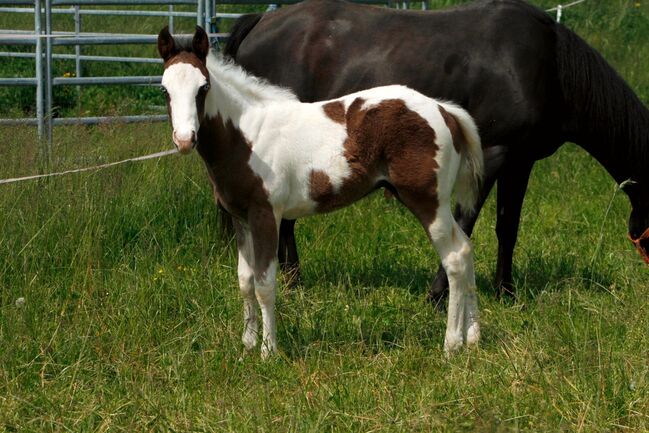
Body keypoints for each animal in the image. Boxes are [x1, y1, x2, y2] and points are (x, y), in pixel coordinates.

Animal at [157, 27, 480, 358]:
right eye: (164, 90)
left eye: (203, 87)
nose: (184, 140)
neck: (247, 136)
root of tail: (444, 111)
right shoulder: (241, 218)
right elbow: (245, 281)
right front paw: (247, 344)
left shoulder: (265, 215)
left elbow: (264, 284)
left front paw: (268, 351)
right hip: (438, 205)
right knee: (466, 249)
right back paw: (472, 337)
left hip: (428, 202)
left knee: (455, 258)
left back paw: (451, 345)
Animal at [224, 0, 648, 298]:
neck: (550, 65)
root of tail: (259, 22)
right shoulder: (494, 153)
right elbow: (465, 221)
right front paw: (439, 294)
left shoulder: (521, 161)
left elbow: (507, 227)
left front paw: (506, 293)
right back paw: (292, 282)